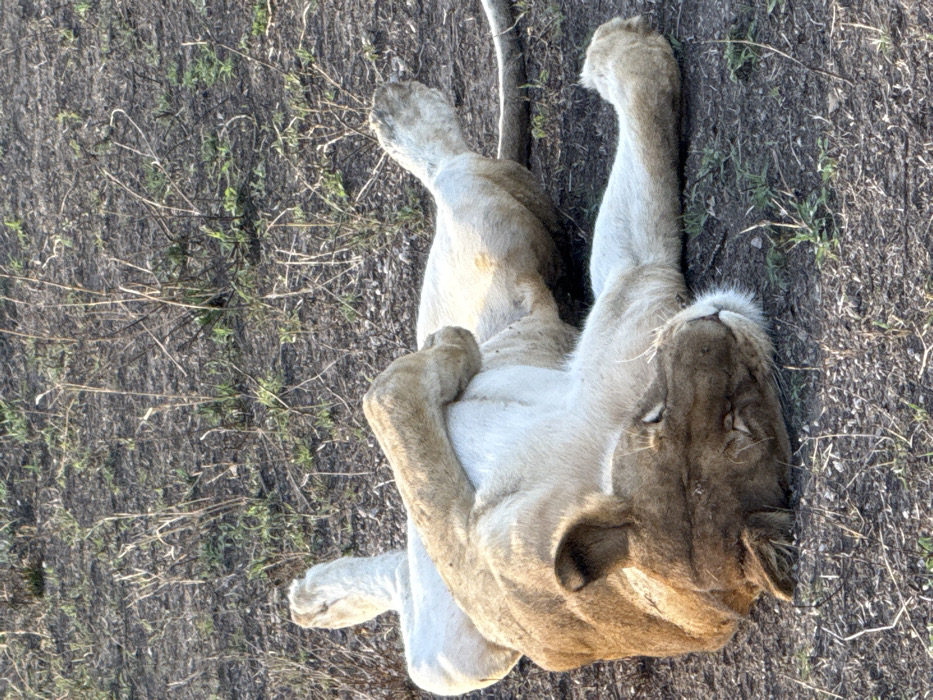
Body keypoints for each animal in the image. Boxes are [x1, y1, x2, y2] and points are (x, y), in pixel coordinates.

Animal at [289, 16, 794, 696]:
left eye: (741, 422)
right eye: (658, 417)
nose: (712, 320)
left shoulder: (637, 284)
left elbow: (398, 422)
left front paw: (619, 52)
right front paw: (628, 51)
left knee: (457, 172)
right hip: (458, 655)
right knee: (409, 575)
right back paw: (320, 596)